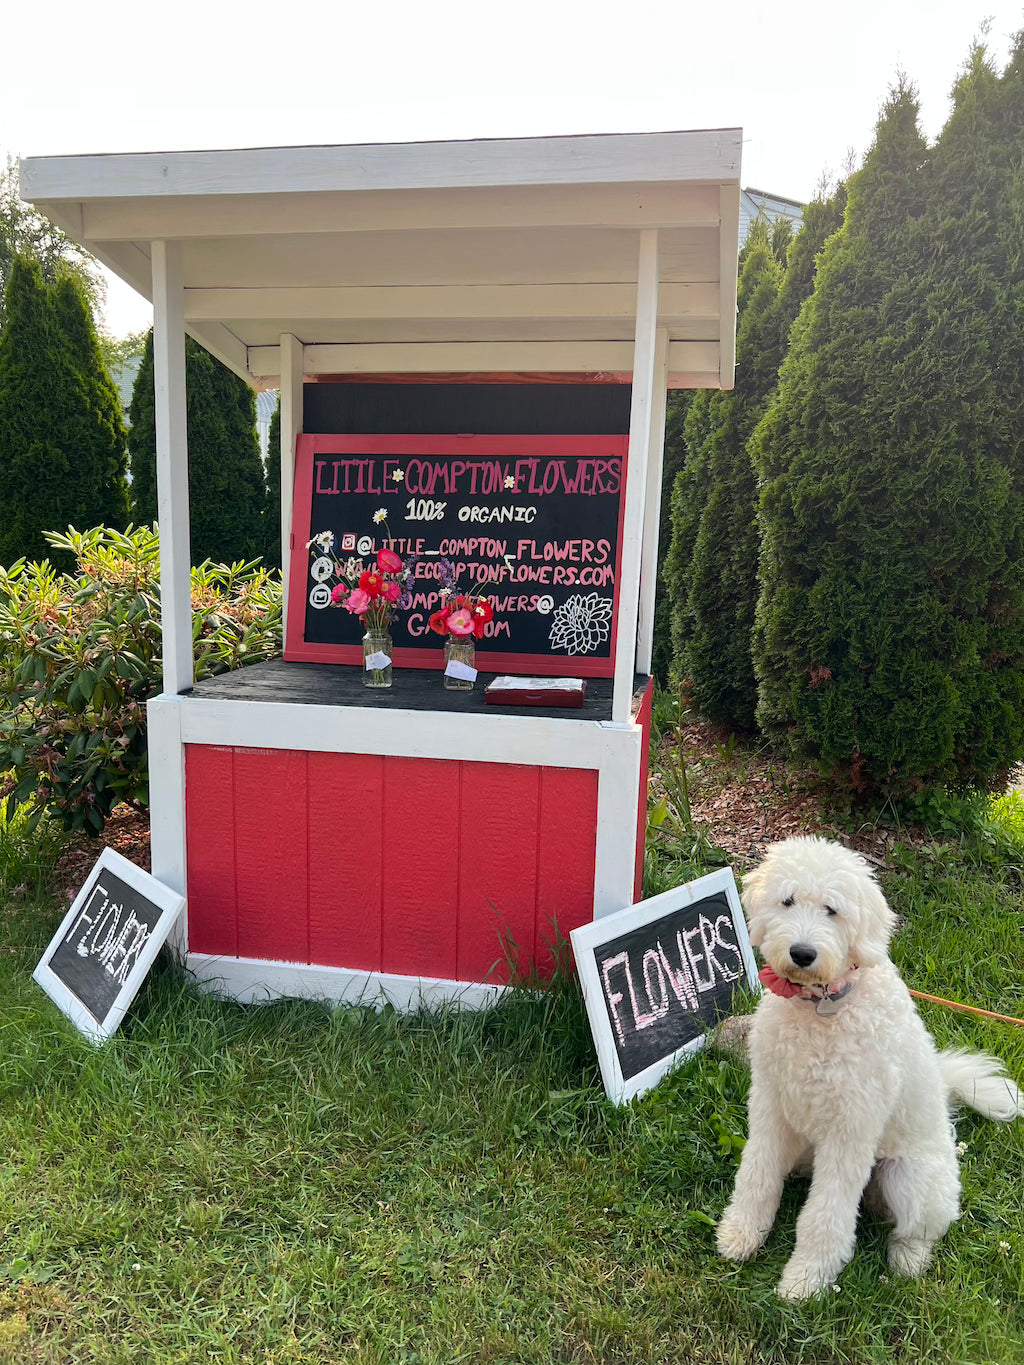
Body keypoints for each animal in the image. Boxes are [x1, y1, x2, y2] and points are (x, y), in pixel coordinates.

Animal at [715, 829, 1021, 1299]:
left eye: (832, 910)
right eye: (788, 901)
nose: (802, 953)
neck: (822, 1007)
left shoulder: (850, 1130)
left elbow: (825, 1215)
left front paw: (806, 1279)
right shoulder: (769, 1105)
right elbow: (757, 1175)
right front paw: (742, 1233)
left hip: (909, 1178)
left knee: (923, 1229)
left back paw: (907, 1260)